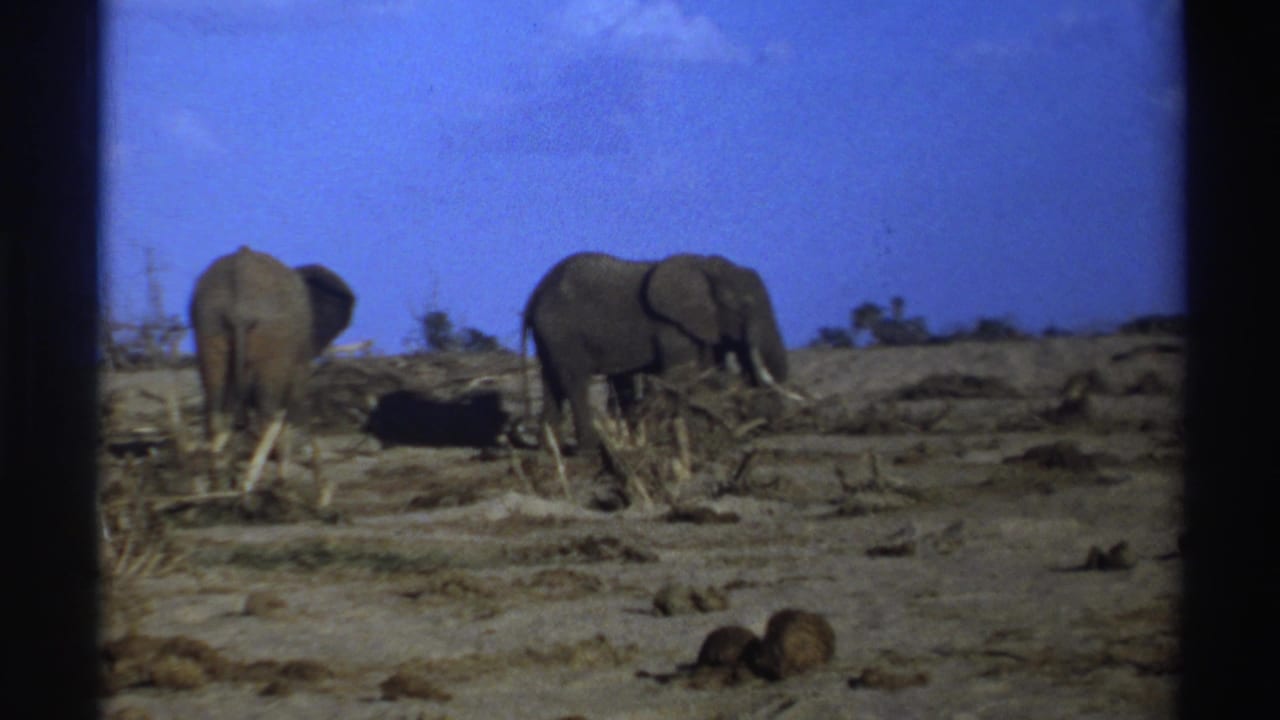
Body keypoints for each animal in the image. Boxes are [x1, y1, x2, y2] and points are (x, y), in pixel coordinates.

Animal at [188, 246, 355, 497]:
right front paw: (317, 492)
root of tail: (239, 305)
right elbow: (298, 400)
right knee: (271, 411)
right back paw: (253, 485)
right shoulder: (298, 351)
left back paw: (218, 486)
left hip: (209, 327)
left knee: (214, 405)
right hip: (274, 338)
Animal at [522, 251, 789, 453]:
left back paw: (549, 451)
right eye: (743, 306)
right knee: (575, 383)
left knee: (552, 383)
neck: (704, 266)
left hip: (551, 337)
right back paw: (588, 451)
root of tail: (534, 297)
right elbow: (682, 376)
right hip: (562, 332)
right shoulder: (671, 327)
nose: (772, 427)